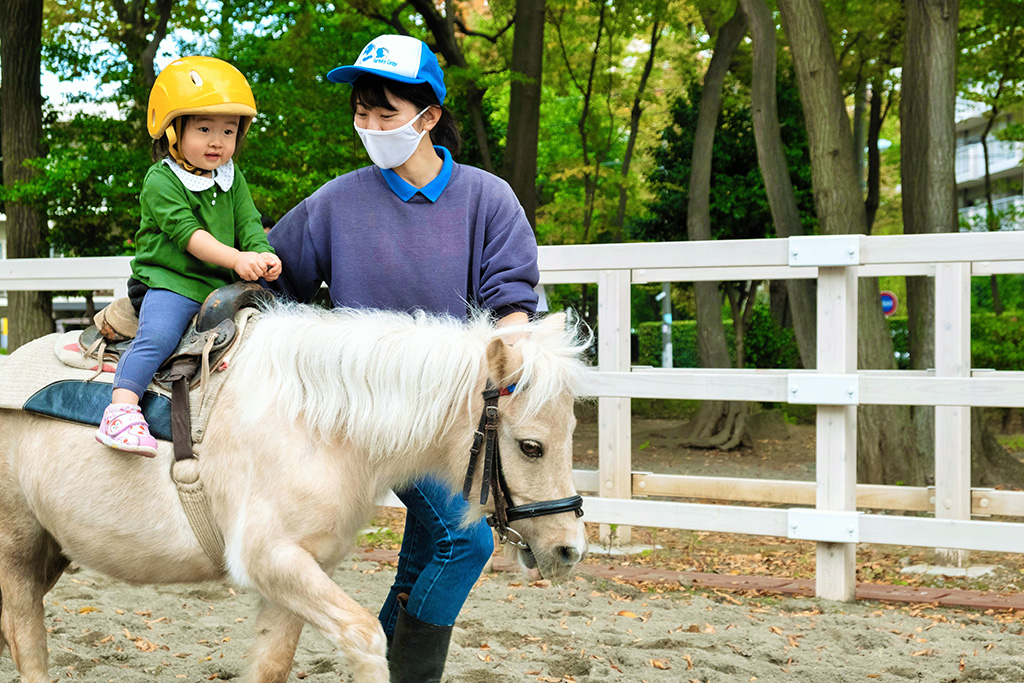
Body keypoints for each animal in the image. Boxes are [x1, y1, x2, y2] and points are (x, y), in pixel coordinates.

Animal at [0, 304, 590, 683]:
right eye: (531, 446)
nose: (570, 549)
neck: (315, 426)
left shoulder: (297, 575)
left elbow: (271, 665)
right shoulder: (272, 561)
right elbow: (365, 638)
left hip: (54, 549)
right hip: (18, 547)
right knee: (27, 636)